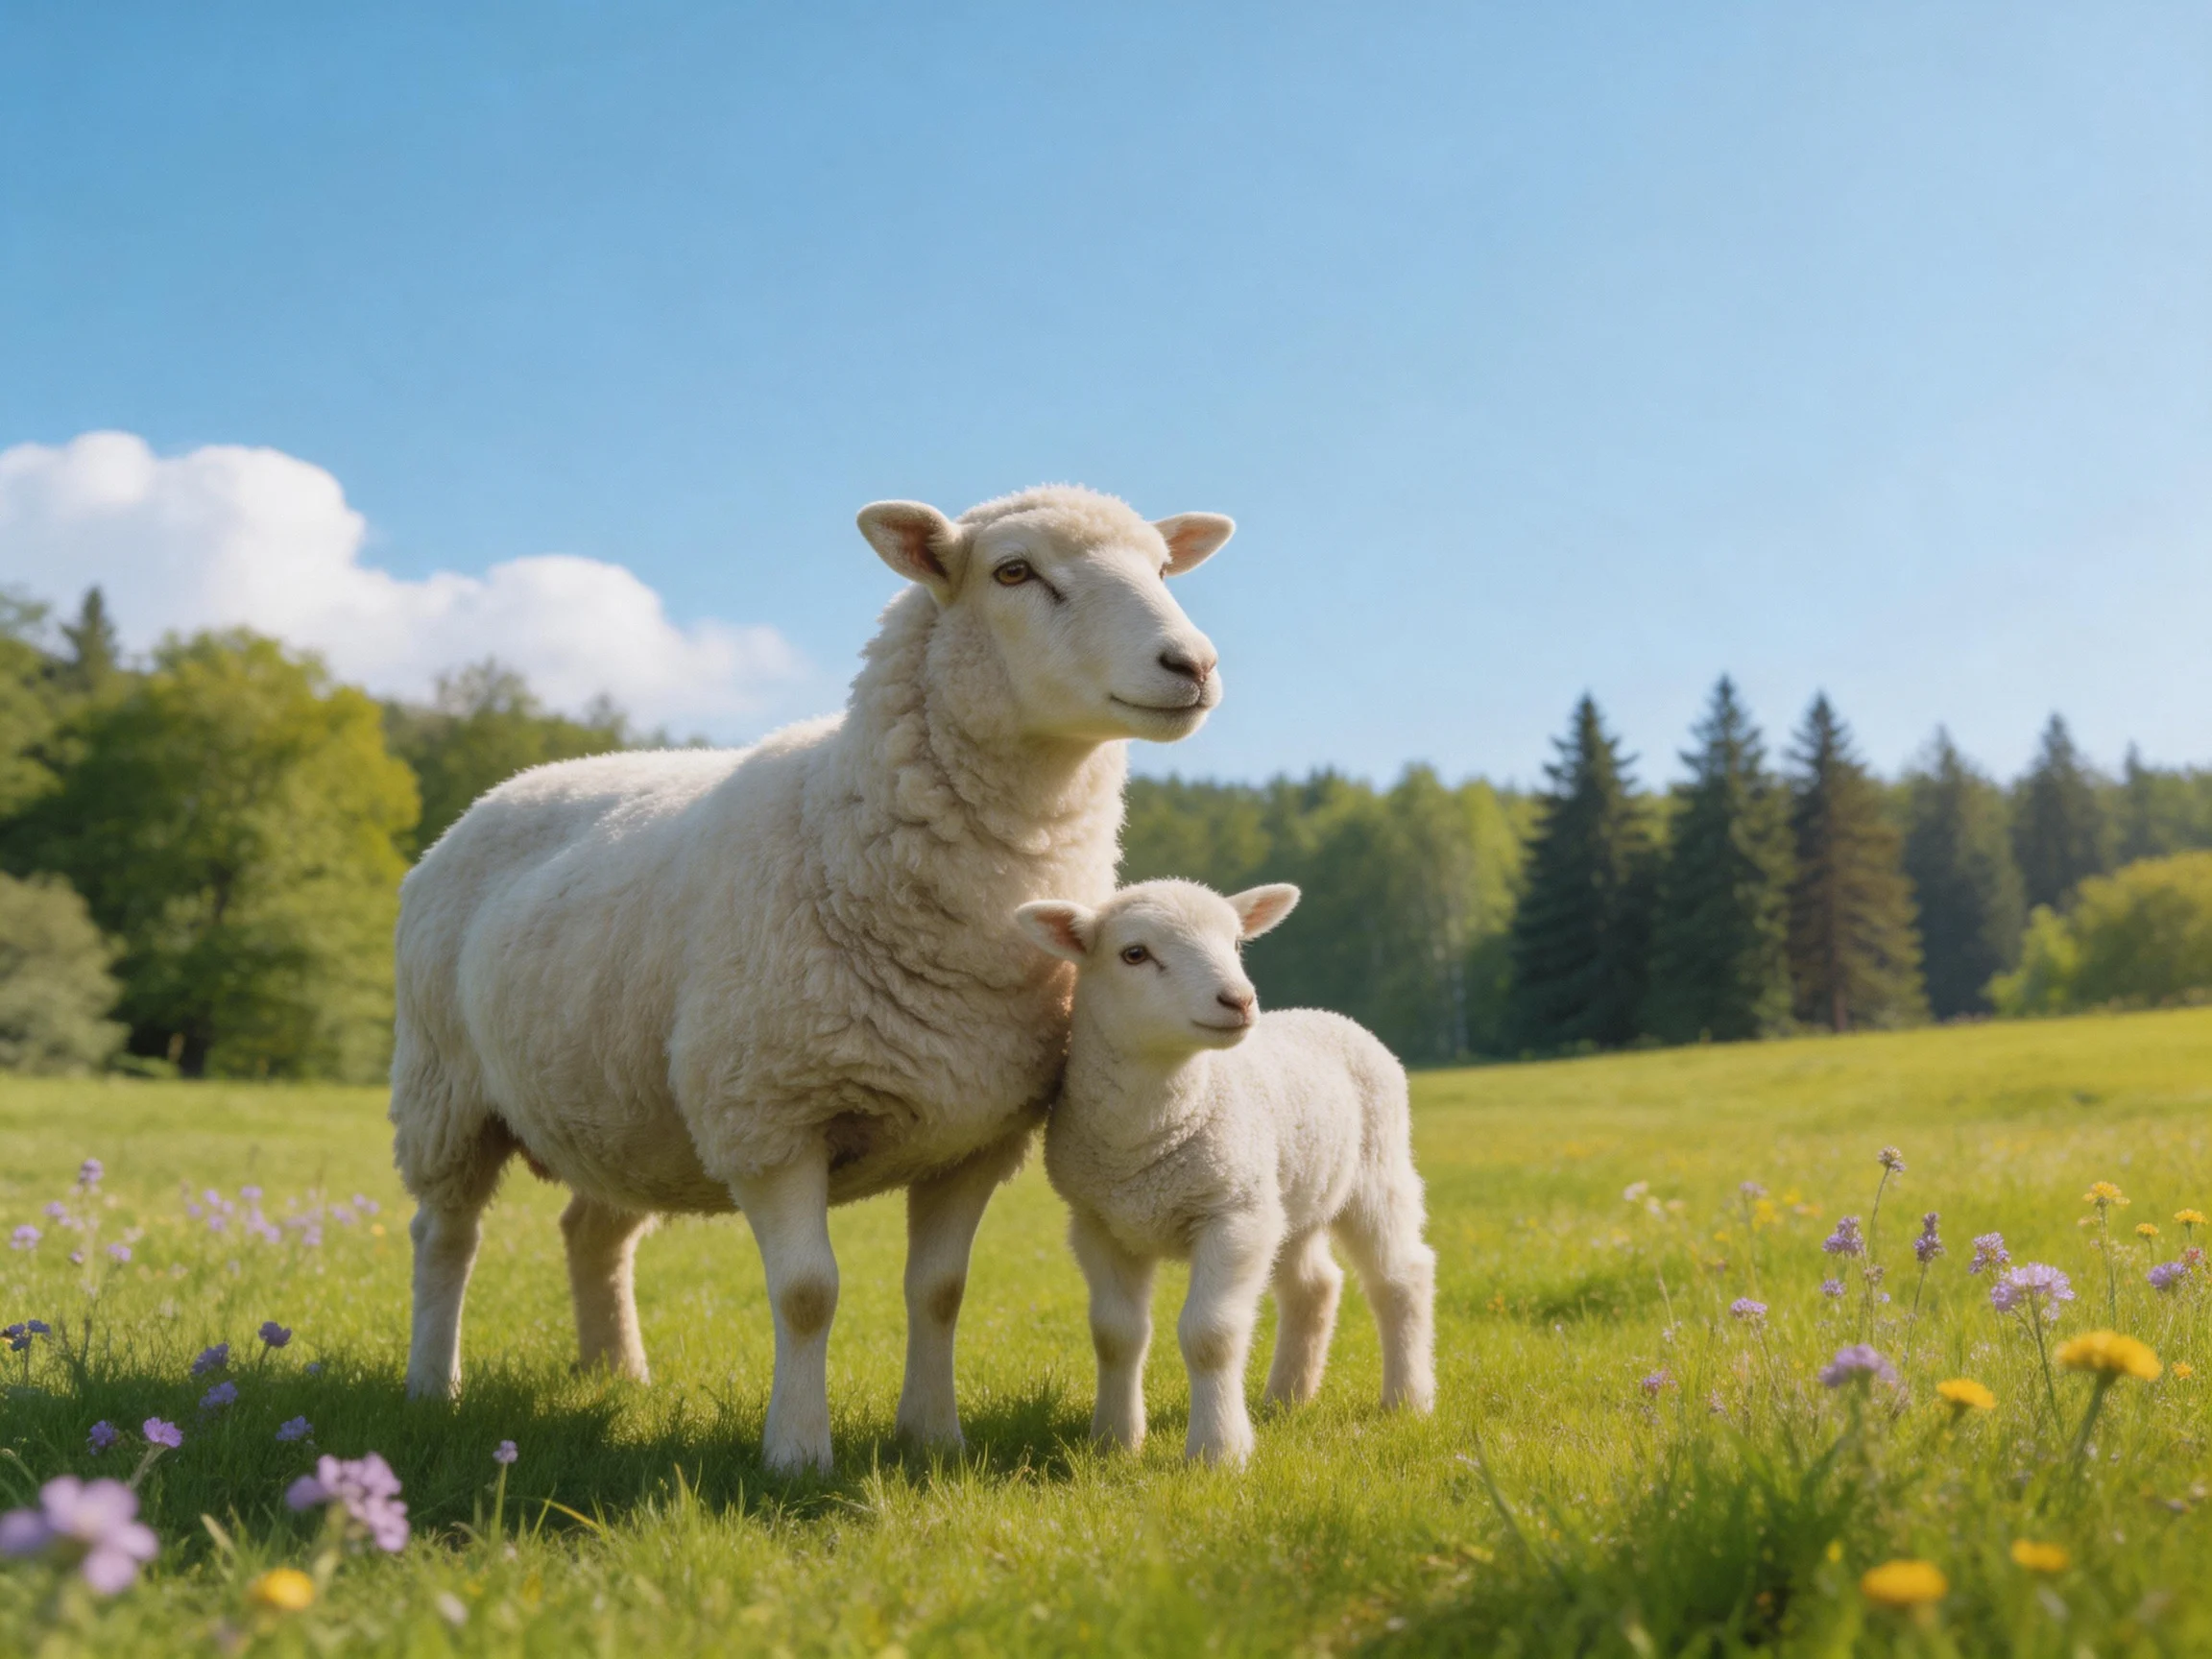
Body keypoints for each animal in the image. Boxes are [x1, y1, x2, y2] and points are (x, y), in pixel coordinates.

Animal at [389, 486, 1235, 1473]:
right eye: (1014, 571)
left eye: (1165, 568)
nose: (1193, 664)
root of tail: (505, 788)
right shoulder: (769, 1115)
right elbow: (806, 1293)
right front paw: (796, 1452)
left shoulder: (975, 1131)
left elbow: (941, 1290)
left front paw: (932, 1438)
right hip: (445, 1089)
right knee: (446, 1236)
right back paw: (431, 1385)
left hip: (616, 1102)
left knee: (591, 1232)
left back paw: (616, 1376)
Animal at [1017, 878, 1436, 1465]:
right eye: (1134, 953)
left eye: (1237, 944)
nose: (1239, 1000)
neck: (1146, 1139)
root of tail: (1329, 1014)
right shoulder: (1098, 1224)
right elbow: (1115, 1334)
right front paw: (1115, 1442)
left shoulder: (1233, 1214)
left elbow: (1210, 1335)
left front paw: (1217, 1452)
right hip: (1288, 1198)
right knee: (1315, 1285)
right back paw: (1287, 1398)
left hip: (1377, 1171)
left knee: (1401, 1277)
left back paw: (1408, 1399)